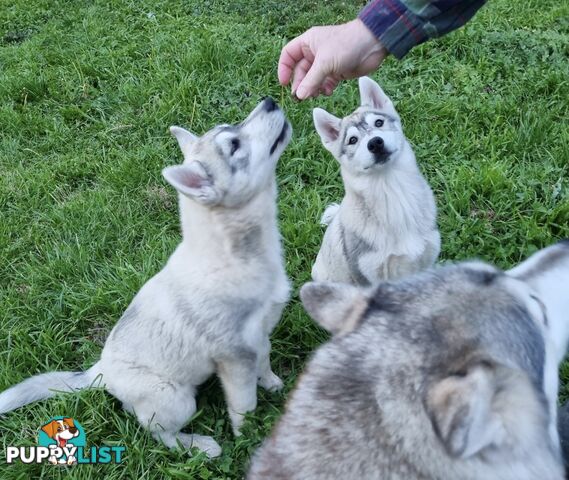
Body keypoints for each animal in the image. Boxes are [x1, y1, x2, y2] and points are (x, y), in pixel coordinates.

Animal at [0, 96, 292, 458]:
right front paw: (249, 437)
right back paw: (200, 445)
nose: (269, 101)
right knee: (161, 435)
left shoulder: (258, 335)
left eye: (232, 128)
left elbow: (264, 361)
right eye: (235, 145)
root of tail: (100, 372)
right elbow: (244, 405)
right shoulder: (234, 359)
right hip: (176, 399)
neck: (236, 255)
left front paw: (272, 383)